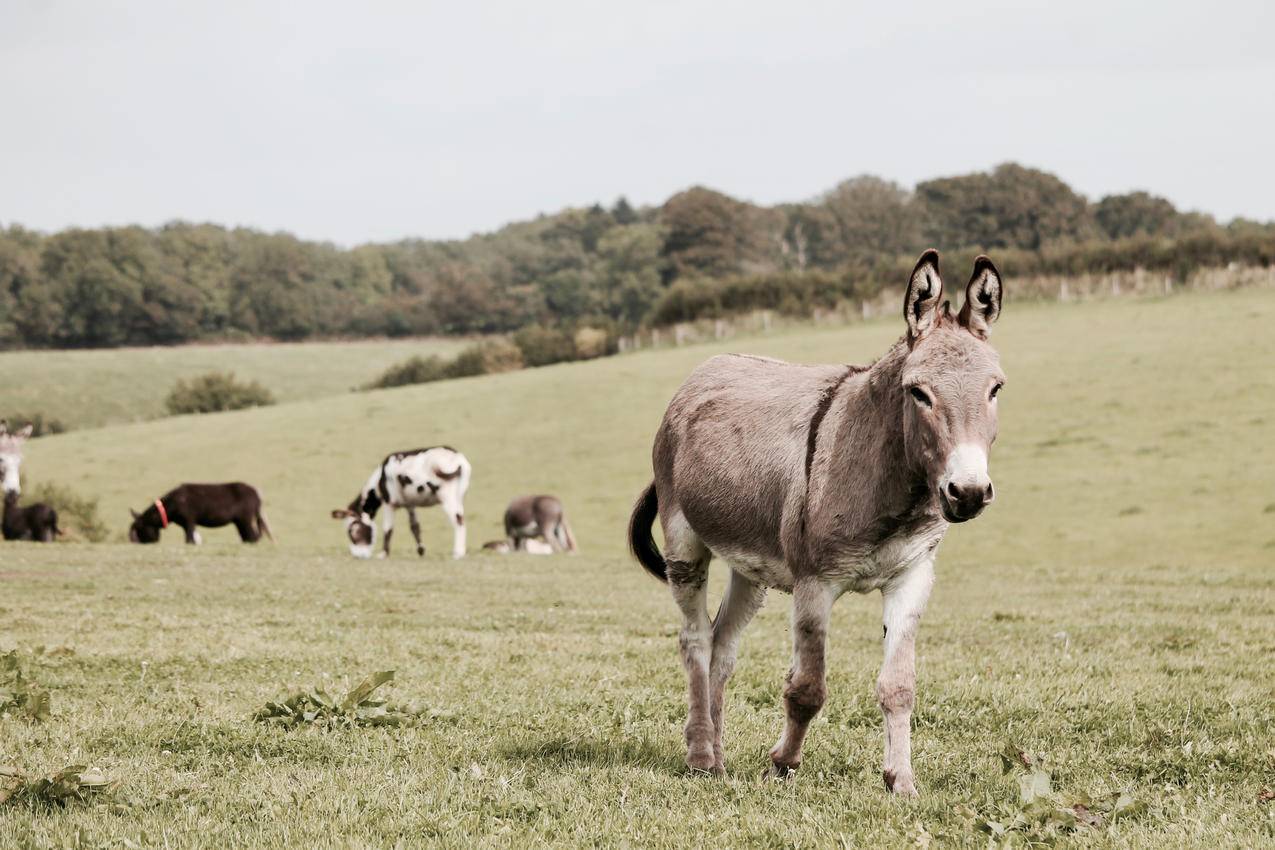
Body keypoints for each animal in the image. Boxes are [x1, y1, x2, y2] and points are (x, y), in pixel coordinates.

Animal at [331, 446, 471, 558]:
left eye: (353, 531)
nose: (357, 556)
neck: (380, 479)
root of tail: (457, 458)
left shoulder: (389, 503)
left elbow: (388, 528)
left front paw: (384, 553)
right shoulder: (410, 504)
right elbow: (414, 527)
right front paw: (421, 550)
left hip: (447, 496)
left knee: (459, 521)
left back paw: (458, 553)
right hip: (458, 496)